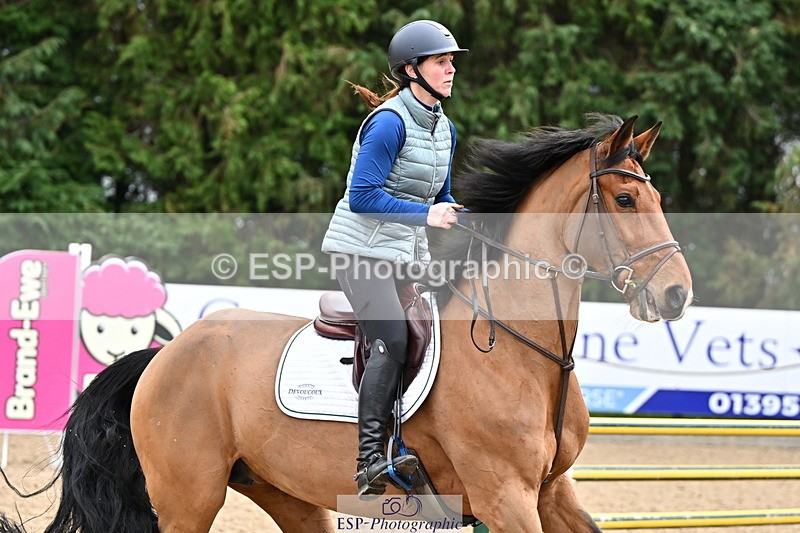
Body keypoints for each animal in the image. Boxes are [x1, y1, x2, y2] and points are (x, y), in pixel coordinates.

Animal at [0, 114, 692, 533]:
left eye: (657, 198)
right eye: (625, 199)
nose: (677, 294)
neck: (521, 353)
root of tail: (166, 354)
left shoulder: (551, 492)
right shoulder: (506, 495)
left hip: (284, 490)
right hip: (187, 496)